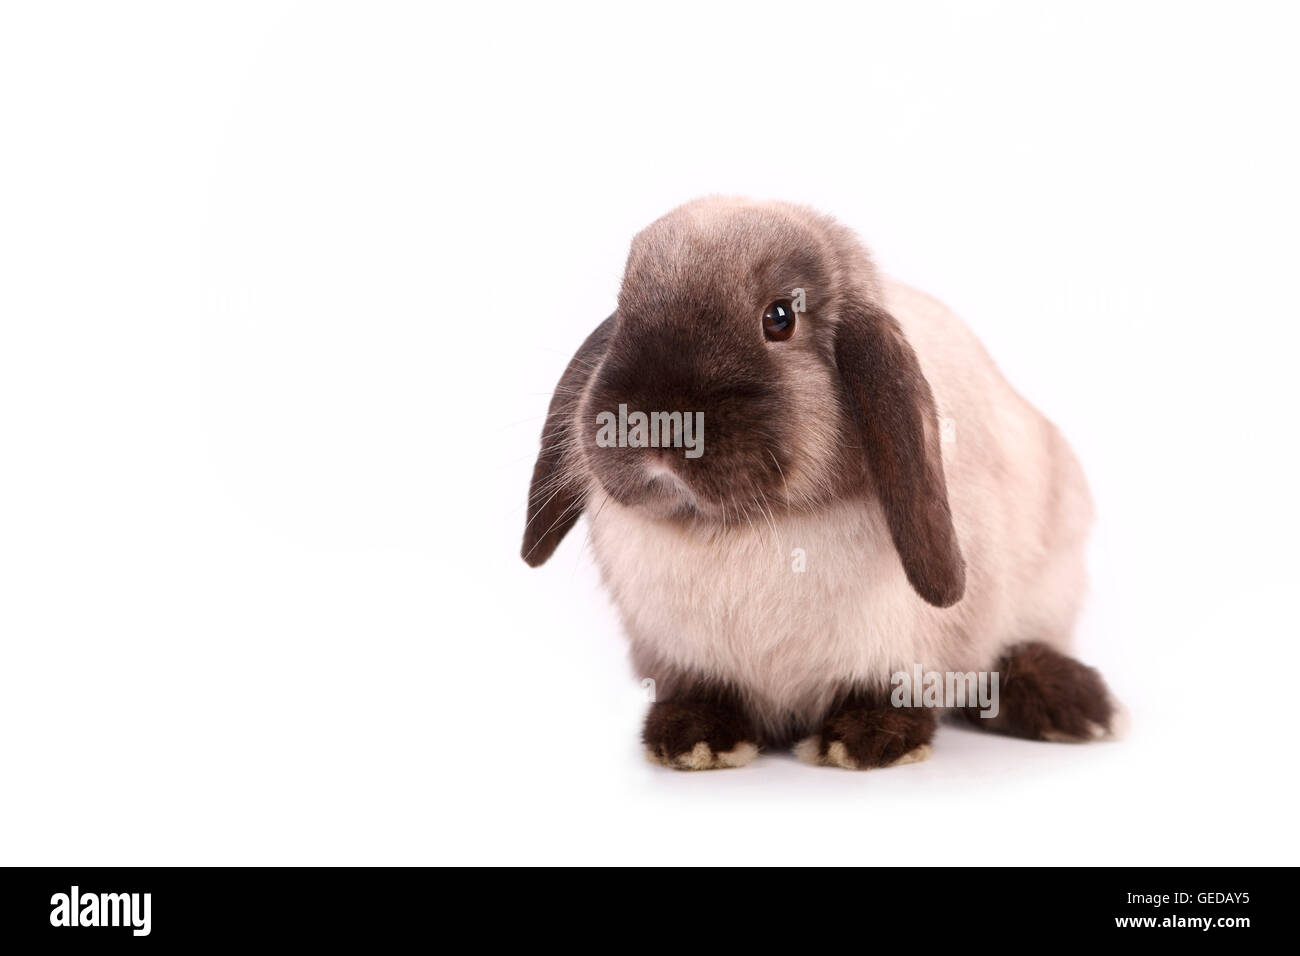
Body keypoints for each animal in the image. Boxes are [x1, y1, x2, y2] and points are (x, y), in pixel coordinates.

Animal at [522, 197, 1123, 770]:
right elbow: (704, 693)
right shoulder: (679, 653)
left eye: (780, 318)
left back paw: (1077, 706)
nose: (652, 423)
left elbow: (890, 691)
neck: (742, 528)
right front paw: (693, 738)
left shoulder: (904, 647)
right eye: (624, 312)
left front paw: (865, 740)